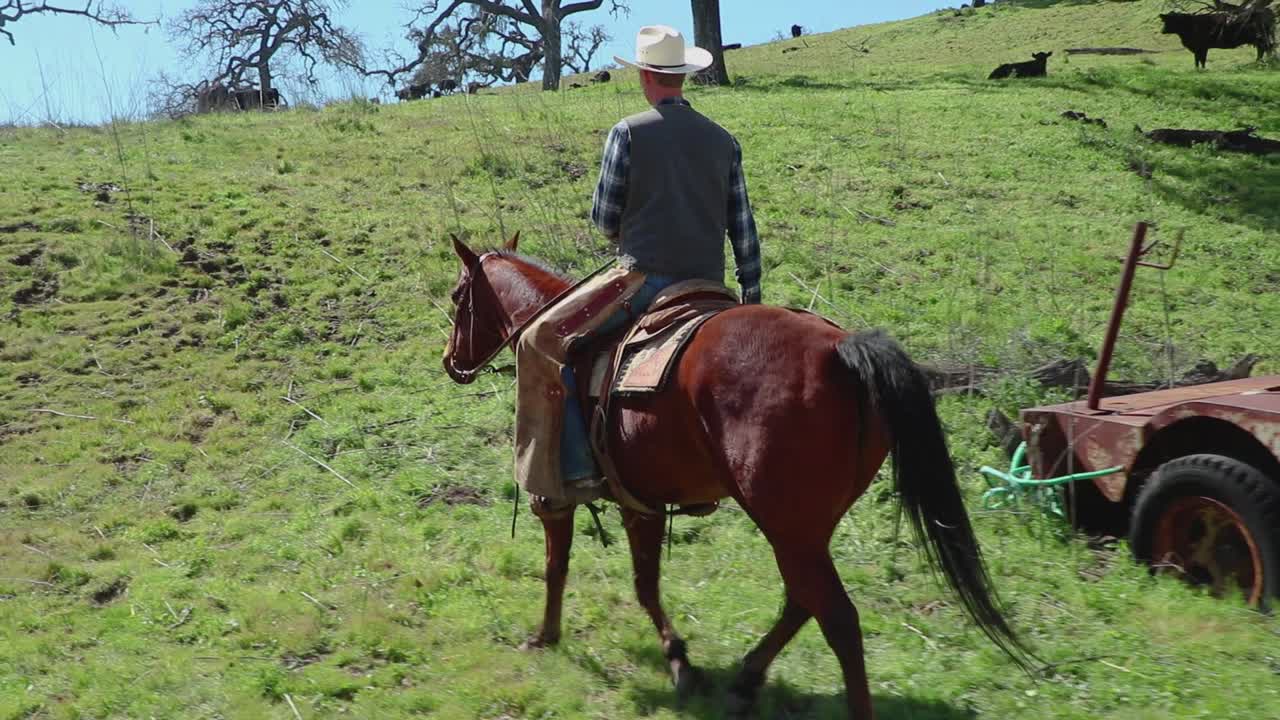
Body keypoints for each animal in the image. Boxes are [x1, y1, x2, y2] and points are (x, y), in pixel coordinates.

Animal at [442, 233, 1034, 718]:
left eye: (456, 298)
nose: (451, 362)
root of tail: (838, 351)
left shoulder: (569, 496)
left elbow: (569, 567)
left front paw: (553, 637)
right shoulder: (643, 503)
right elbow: (642, 581)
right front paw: (681, 663)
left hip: (786, 525)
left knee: (837, 618)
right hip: (802, 527)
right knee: (802, 599)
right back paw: (747, 679)